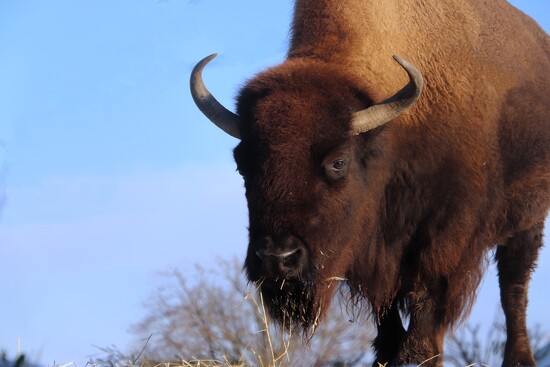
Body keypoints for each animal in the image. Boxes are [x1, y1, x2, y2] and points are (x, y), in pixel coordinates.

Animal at [191, 1, 550, 366]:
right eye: (241, 163)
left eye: (339, 162)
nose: (278, 258)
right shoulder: (372, 255)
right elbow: (388, 324)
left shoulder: (444, 238)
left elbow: (425, 319)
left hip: (528, 221)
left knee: (514, 287)